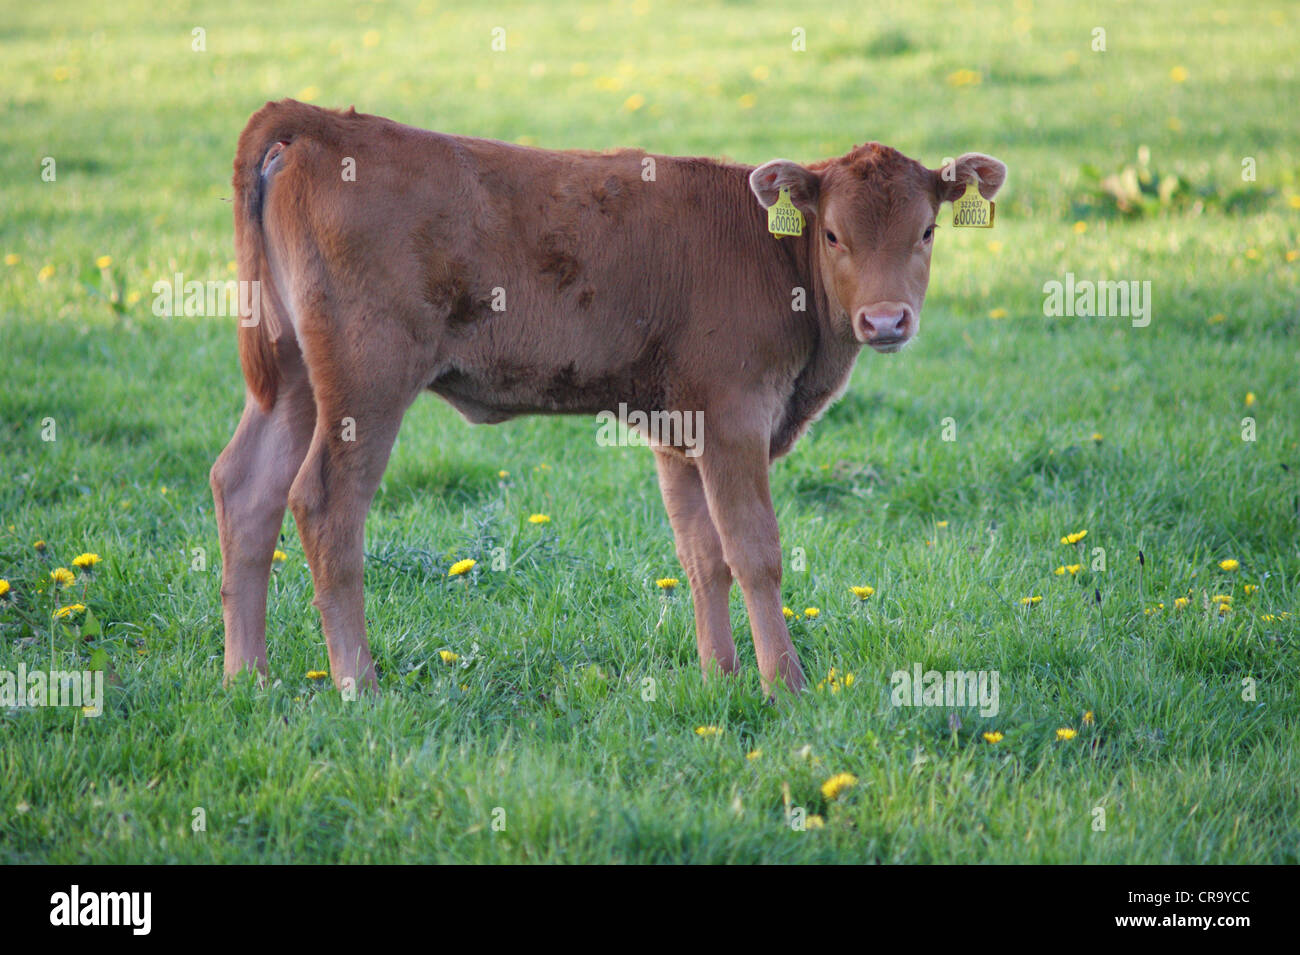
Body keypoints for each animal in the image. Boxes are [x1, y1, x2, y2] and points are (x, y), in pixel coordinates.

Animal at [210, 100, 1003, 696]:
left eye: (927, 230)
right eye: (833, 234)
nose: (886, 322)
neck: (771, 255)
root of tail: (321, 124)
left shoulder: (679, 429)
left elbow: (702, 554)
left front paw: (720, 677)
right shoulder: (734, 417)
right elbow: (754, 551)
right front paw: (786, 685)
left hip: (294, 378)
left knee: (245, 488)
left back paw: (248, 677)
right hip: (365, 380)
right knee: (324, 504)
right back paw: (359, 685)